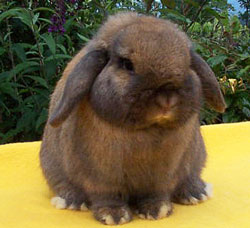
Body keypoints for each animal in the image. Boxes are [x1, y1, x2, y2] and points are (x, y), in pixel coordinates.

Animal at [40, 12, 226, 224]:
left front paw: (157, 211)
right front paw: (114, 216)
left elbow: (156, 193)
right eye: (127, 64)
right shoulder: (101, 176)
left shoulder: (163, 175)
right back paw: (72, 202)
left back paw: (196, 193)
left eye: (188, 64)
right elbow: (106, 195)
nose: (167, 99)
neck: (147, 130)